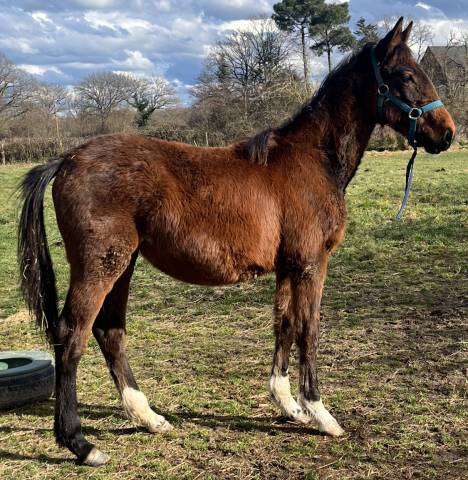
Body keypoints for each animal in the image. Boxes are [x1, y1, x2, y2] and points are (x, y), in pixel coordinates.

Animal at [17, 18, 454, 464]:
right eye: (405, 75)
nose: (448, 133)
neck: (312, 160)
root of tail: (65, 159)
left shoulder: (287, 267)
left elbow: (284, 324)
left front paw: (289, 406)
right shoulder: (311, 264)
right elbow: (309, 329)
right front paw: (320, 414)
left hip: (123, 264)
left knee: (109, 331)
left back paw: (149, 418)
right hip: (100, 264)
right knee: (72, 334)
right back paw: (80, 443)